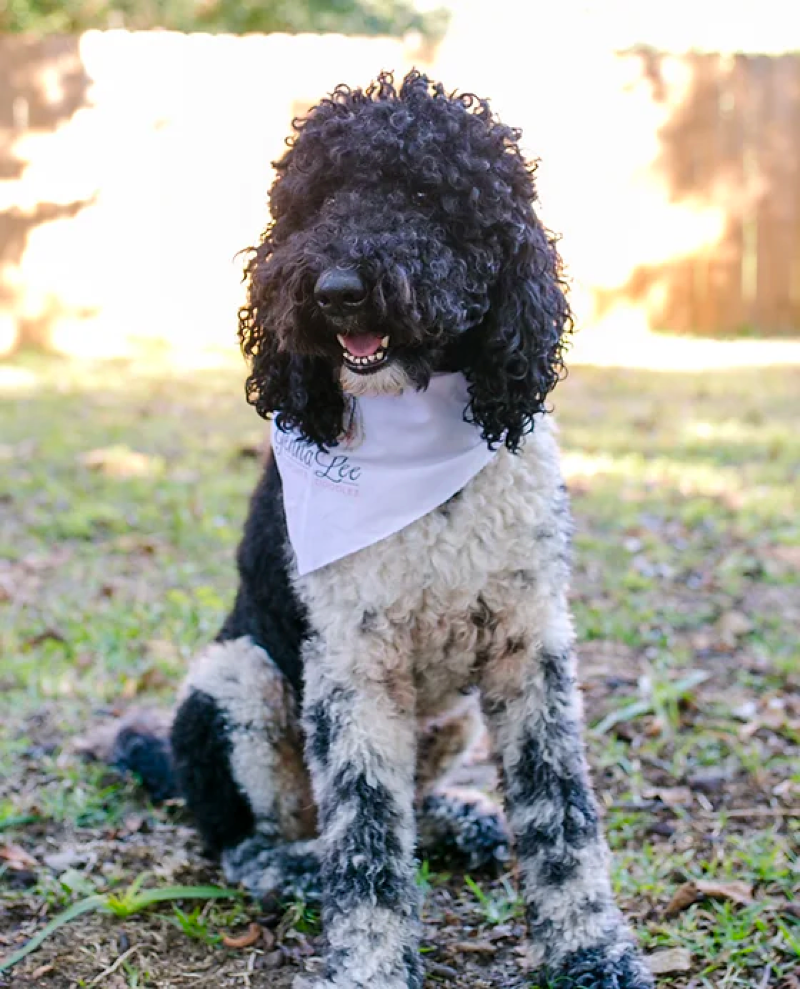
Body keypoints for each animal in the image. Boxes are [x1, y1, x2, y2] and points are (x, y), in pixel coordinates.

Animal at [100, 71, 652, 988]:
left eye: (429, 198)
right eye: (316, 200)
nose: (335, 288)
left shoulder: (530, 647)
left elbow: (561, 814)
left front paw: (592, 947)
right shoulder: (352, 669)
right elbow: (363, 841)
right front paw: (368, 965)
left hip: (449, 716)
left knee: (410, 803)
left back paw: (458, 818)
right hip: (239, 678)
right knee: (251, 838)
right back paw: (294, 865)